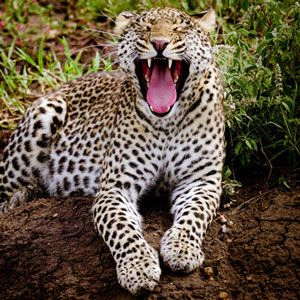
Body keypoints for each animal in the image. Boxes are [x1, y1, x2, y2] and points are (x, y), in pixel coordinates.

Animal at [0, 7, 225, 296]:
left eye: (179, 28)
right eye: (145, 27)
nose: (159, 43)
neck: (166, 121)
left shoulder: (201, 181)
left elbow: (195, 215)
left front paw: (182, 248)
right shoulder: (115, 187)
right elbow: (122, 228)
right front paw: (138, 268)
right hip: (44, 114)